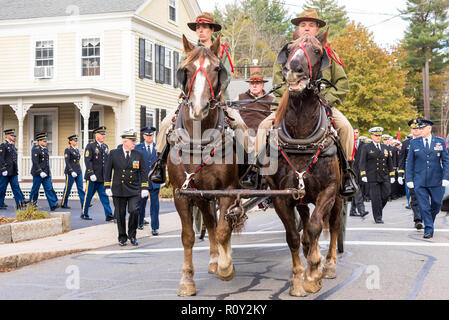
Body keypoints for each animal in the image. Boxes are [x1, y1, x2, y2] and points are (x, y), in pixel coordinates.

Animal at [167, 34, 243, 296]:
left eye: (217, 69)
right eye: (186, 70)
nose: (199, 108)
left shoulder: (228, 189)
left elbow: (222, 230)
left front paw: (226, 267)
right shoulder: (182, 193)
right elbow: (189, 236)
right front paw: (187, 280)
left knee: (220, 224)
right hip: (201, 195)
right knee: (209, 222)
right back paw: (213, 259)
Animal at [264, 28, 342, 296]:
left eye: (317, 50)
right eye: (289, 48)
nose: (294, 69)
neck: (301, 137)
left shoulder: (329, 190)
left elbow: (317, 226)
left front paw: (314, 272)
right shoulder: (282, 196)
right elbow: (293, 236)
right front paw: (299, 279)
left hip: (340, 196)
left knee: (334, 225)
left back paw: (329, 265)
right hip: (301, 196)